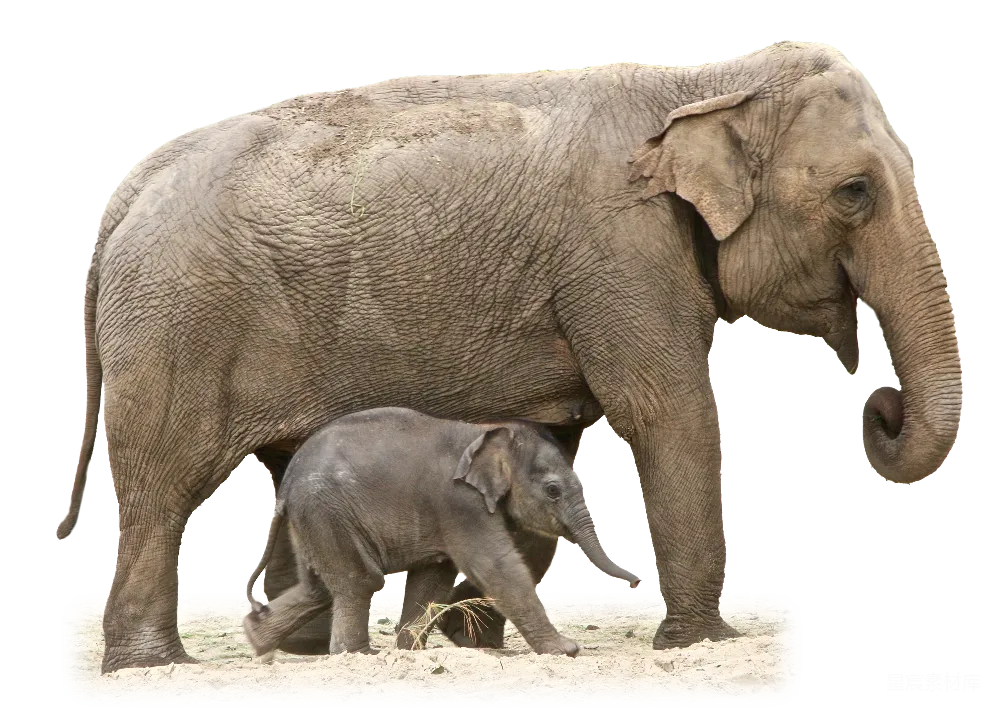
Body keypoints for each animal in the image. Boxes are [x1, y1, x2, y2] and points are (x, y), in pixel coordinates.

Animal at [241, 406, 642, 660]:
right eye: (553, 490)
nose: (639, 580)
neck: (487, 431)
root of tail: (285, 489)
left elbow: (434, 576)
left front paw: (410, 652)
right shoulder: (459, 503)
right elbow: (495, 566)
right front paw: (567, 650)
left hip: (314, 517)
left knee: (320, 588)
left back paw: (256, 641)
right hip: (327, 510)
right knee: (360, 581)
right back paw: (357, 656)